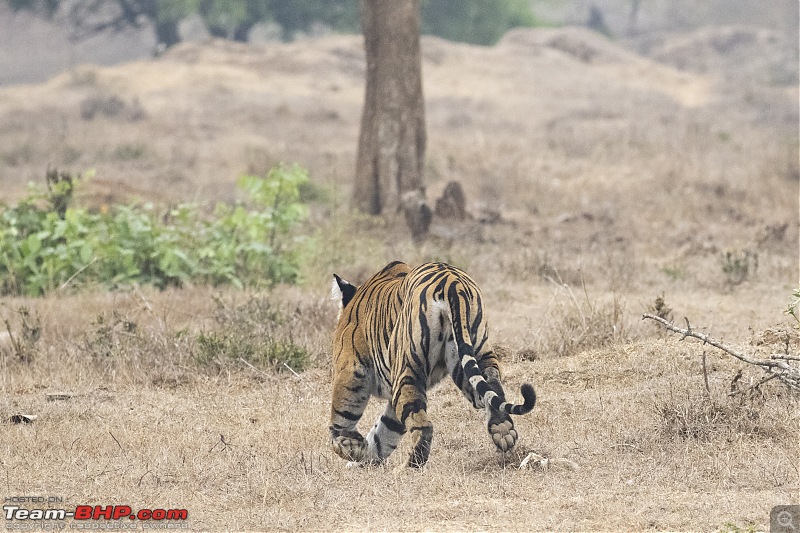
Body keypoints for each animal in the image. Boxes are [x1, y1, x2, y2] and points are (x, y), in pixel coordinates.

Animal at [328, 260, 536, 466]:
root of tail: (453, 282)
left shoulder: (351, 370)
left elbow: (341, 418)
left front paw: (349, 445)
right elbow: (385, 433)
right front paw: (363, 454)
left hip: (408, 368)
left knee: (424, 426)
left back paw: (405, 470)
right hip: (471, 353)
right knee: (491, 386)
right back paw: (503, 431)